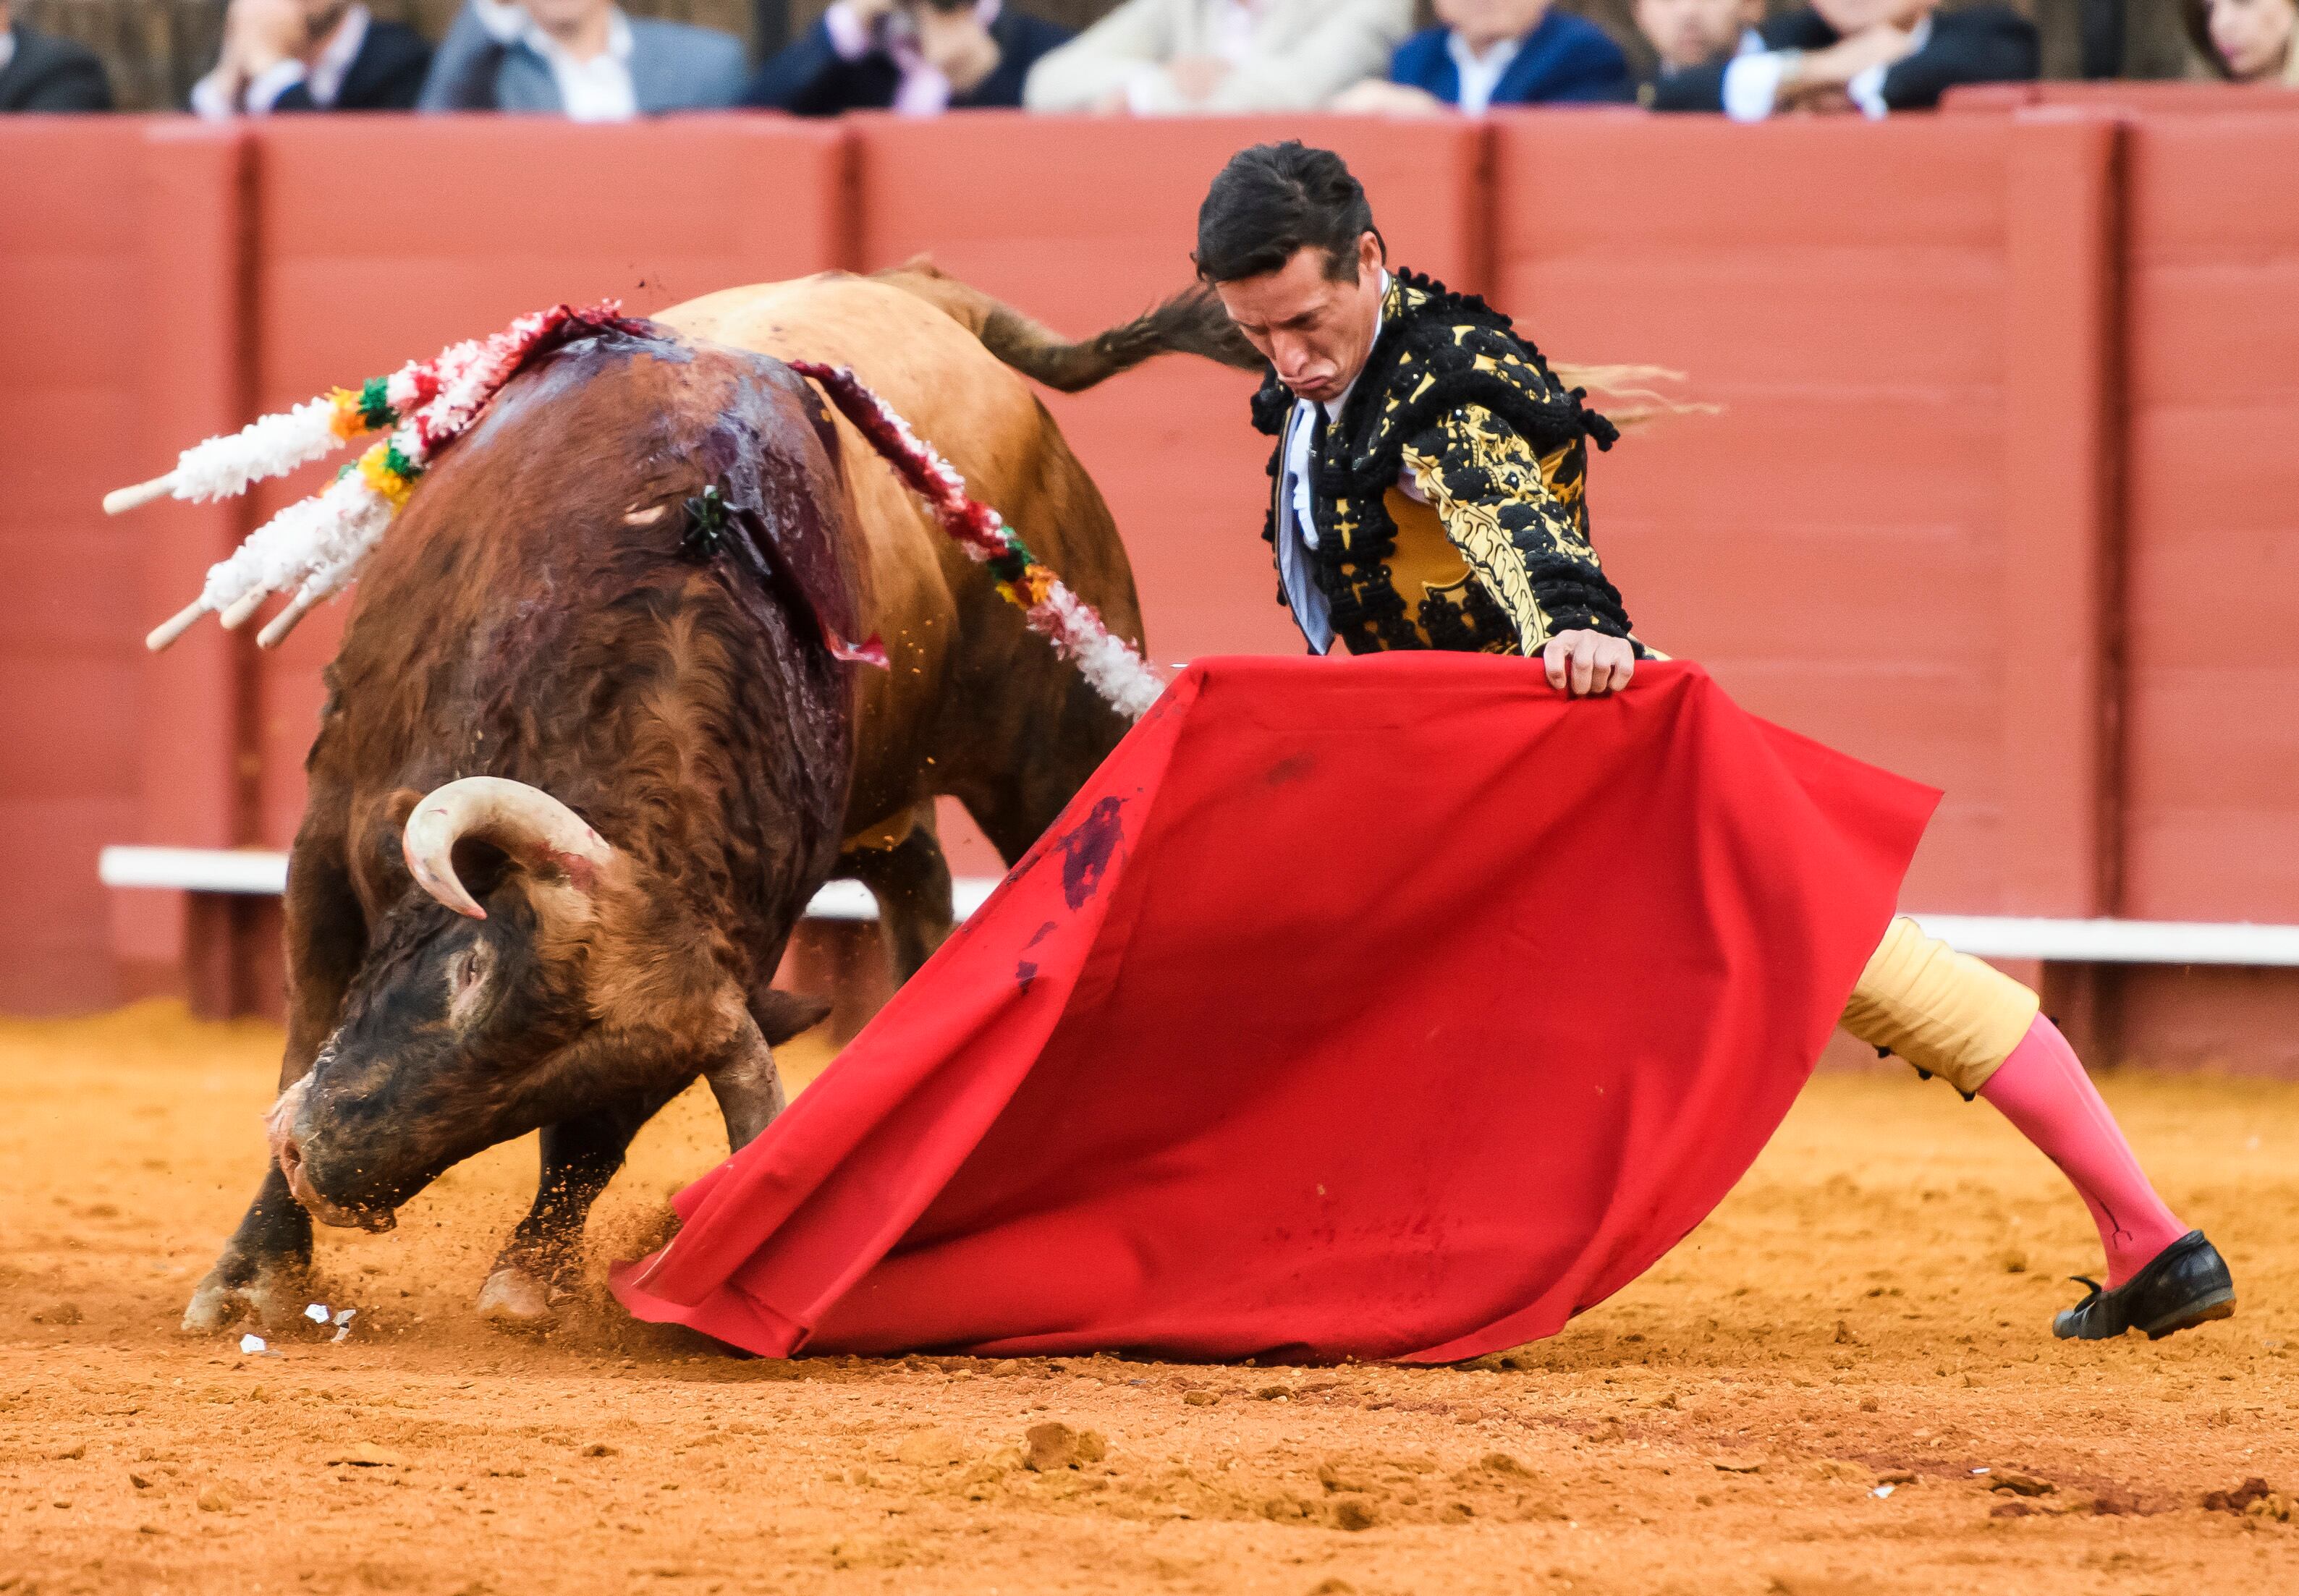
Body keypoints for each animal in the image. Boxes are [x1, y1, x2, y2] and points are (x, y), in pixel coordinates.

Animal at [186, 268, 1250, 1333]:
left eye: (541, 1097)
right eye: (471, 972)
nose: (324, 1170)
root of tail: (927, 295)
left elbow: (590, 1151)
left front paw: (529, 1281)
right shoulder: (330, 827)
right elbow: (304, 1032)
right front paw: (254, 1276)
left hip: (1060, 750)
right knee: (922, 882)